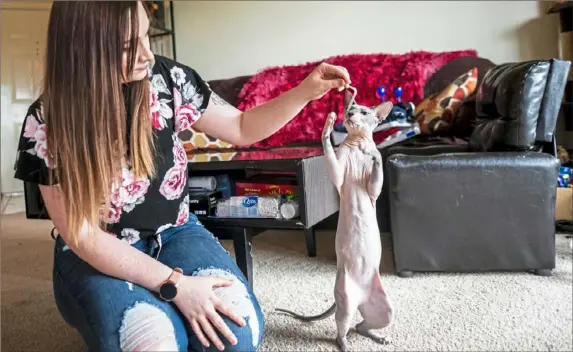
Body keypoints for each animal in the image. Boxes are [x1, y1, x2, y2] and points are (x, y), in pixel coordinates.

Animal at [276, 86, 394, 350]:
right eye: (349, 108)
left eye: (363, 112)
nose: (348, 113)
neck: (358, 144)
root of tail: (361, 297)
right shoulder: (339, 173)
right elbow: (329, 149)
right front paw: (328, 126)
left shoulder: (374, 191)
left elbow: (377, 167)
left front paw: (376, 155)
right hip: (347, 300)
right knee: (344, 328)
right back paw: (346, 344)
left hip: (386, 310)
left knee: (361, 325)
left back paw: (378, 337)